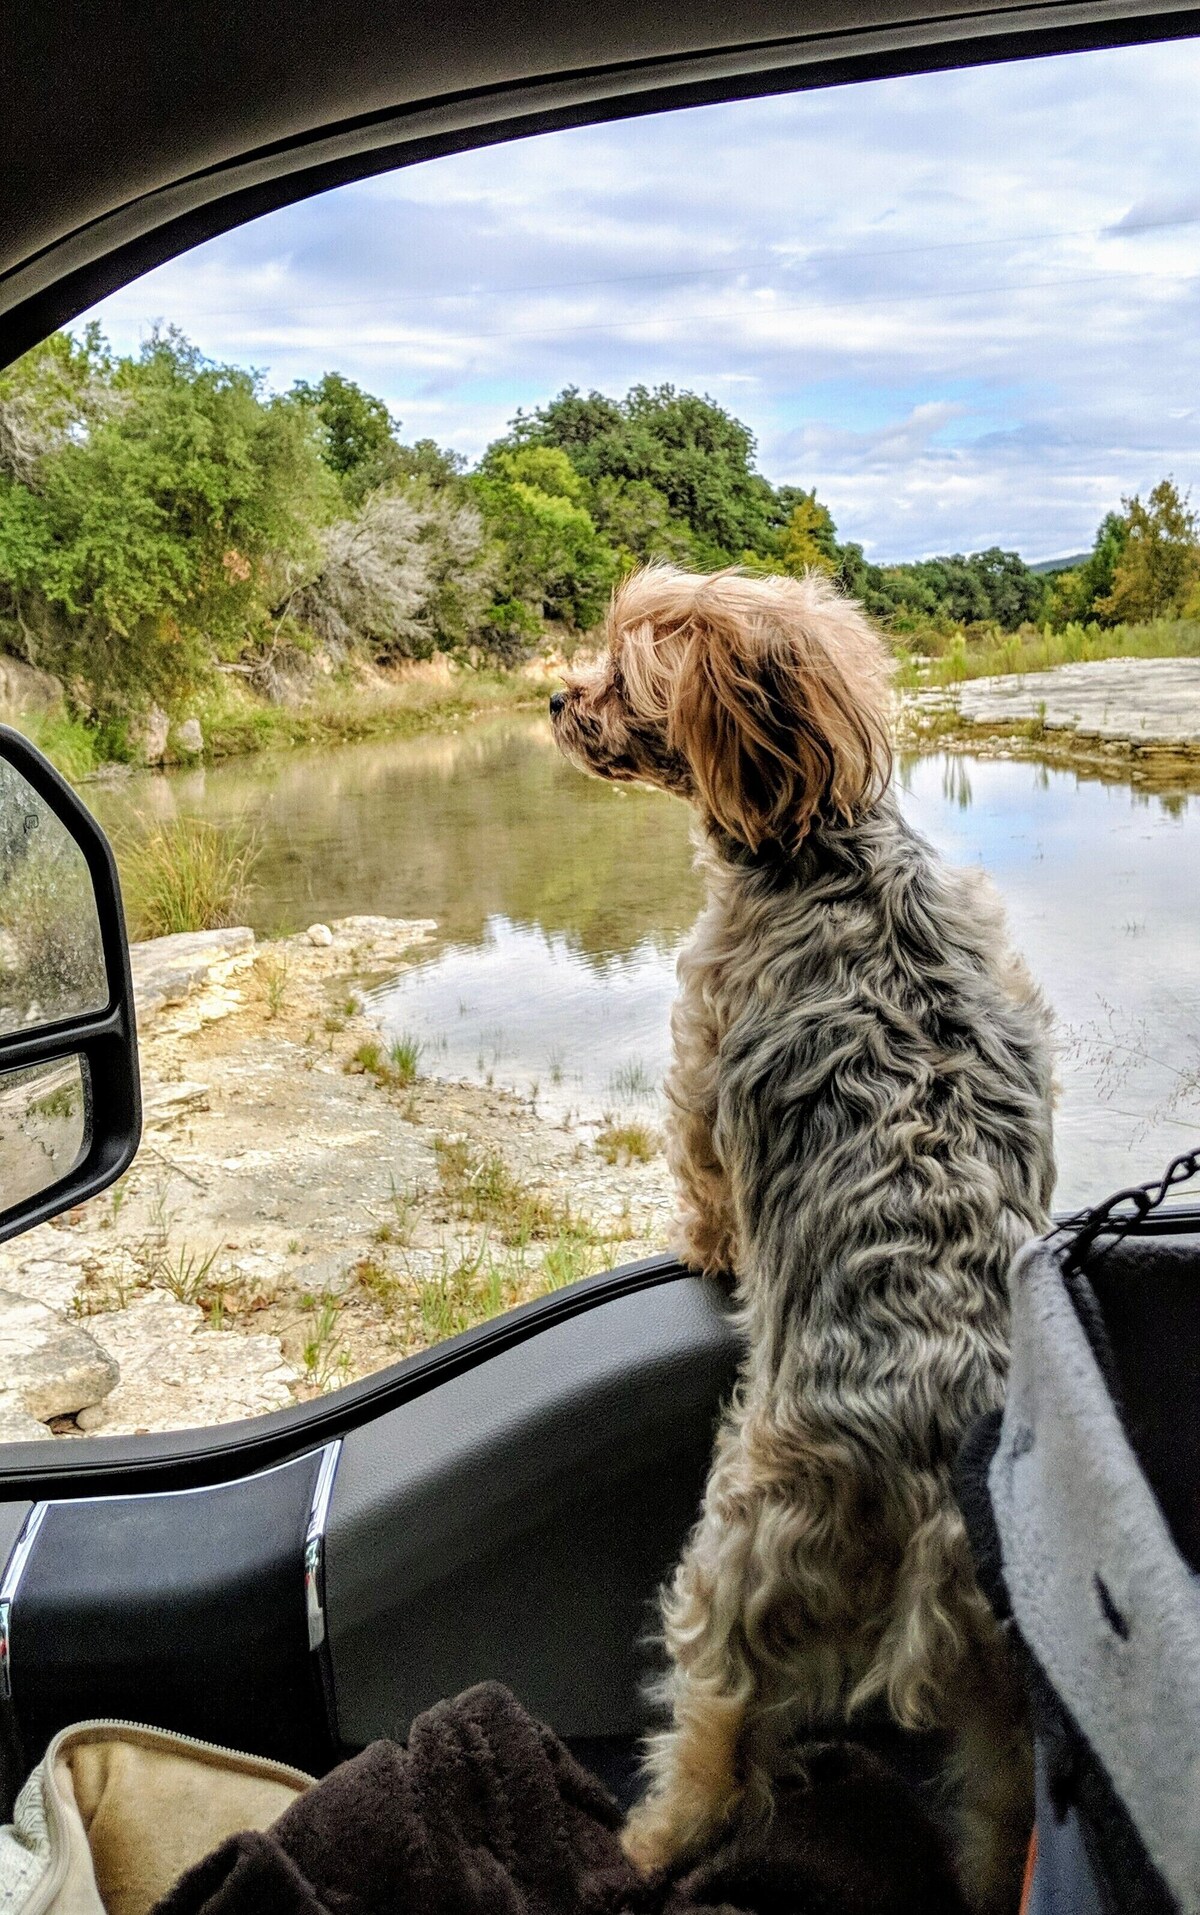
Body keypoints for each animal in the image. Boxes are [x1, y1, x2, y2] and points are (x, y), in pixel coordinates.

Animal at [551, 563, 1056, 1915]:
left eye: (624, 672)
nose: (555, 696)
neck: (823, 846)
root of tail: (938, 1482)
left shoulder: (698, 1053)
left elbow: (702, 1177)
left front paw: (705, 1246)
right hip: (1002, 1690)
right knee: (1001, 1810)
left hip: (734, 1572)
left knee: (715, 1751)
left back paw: (640, 1849)